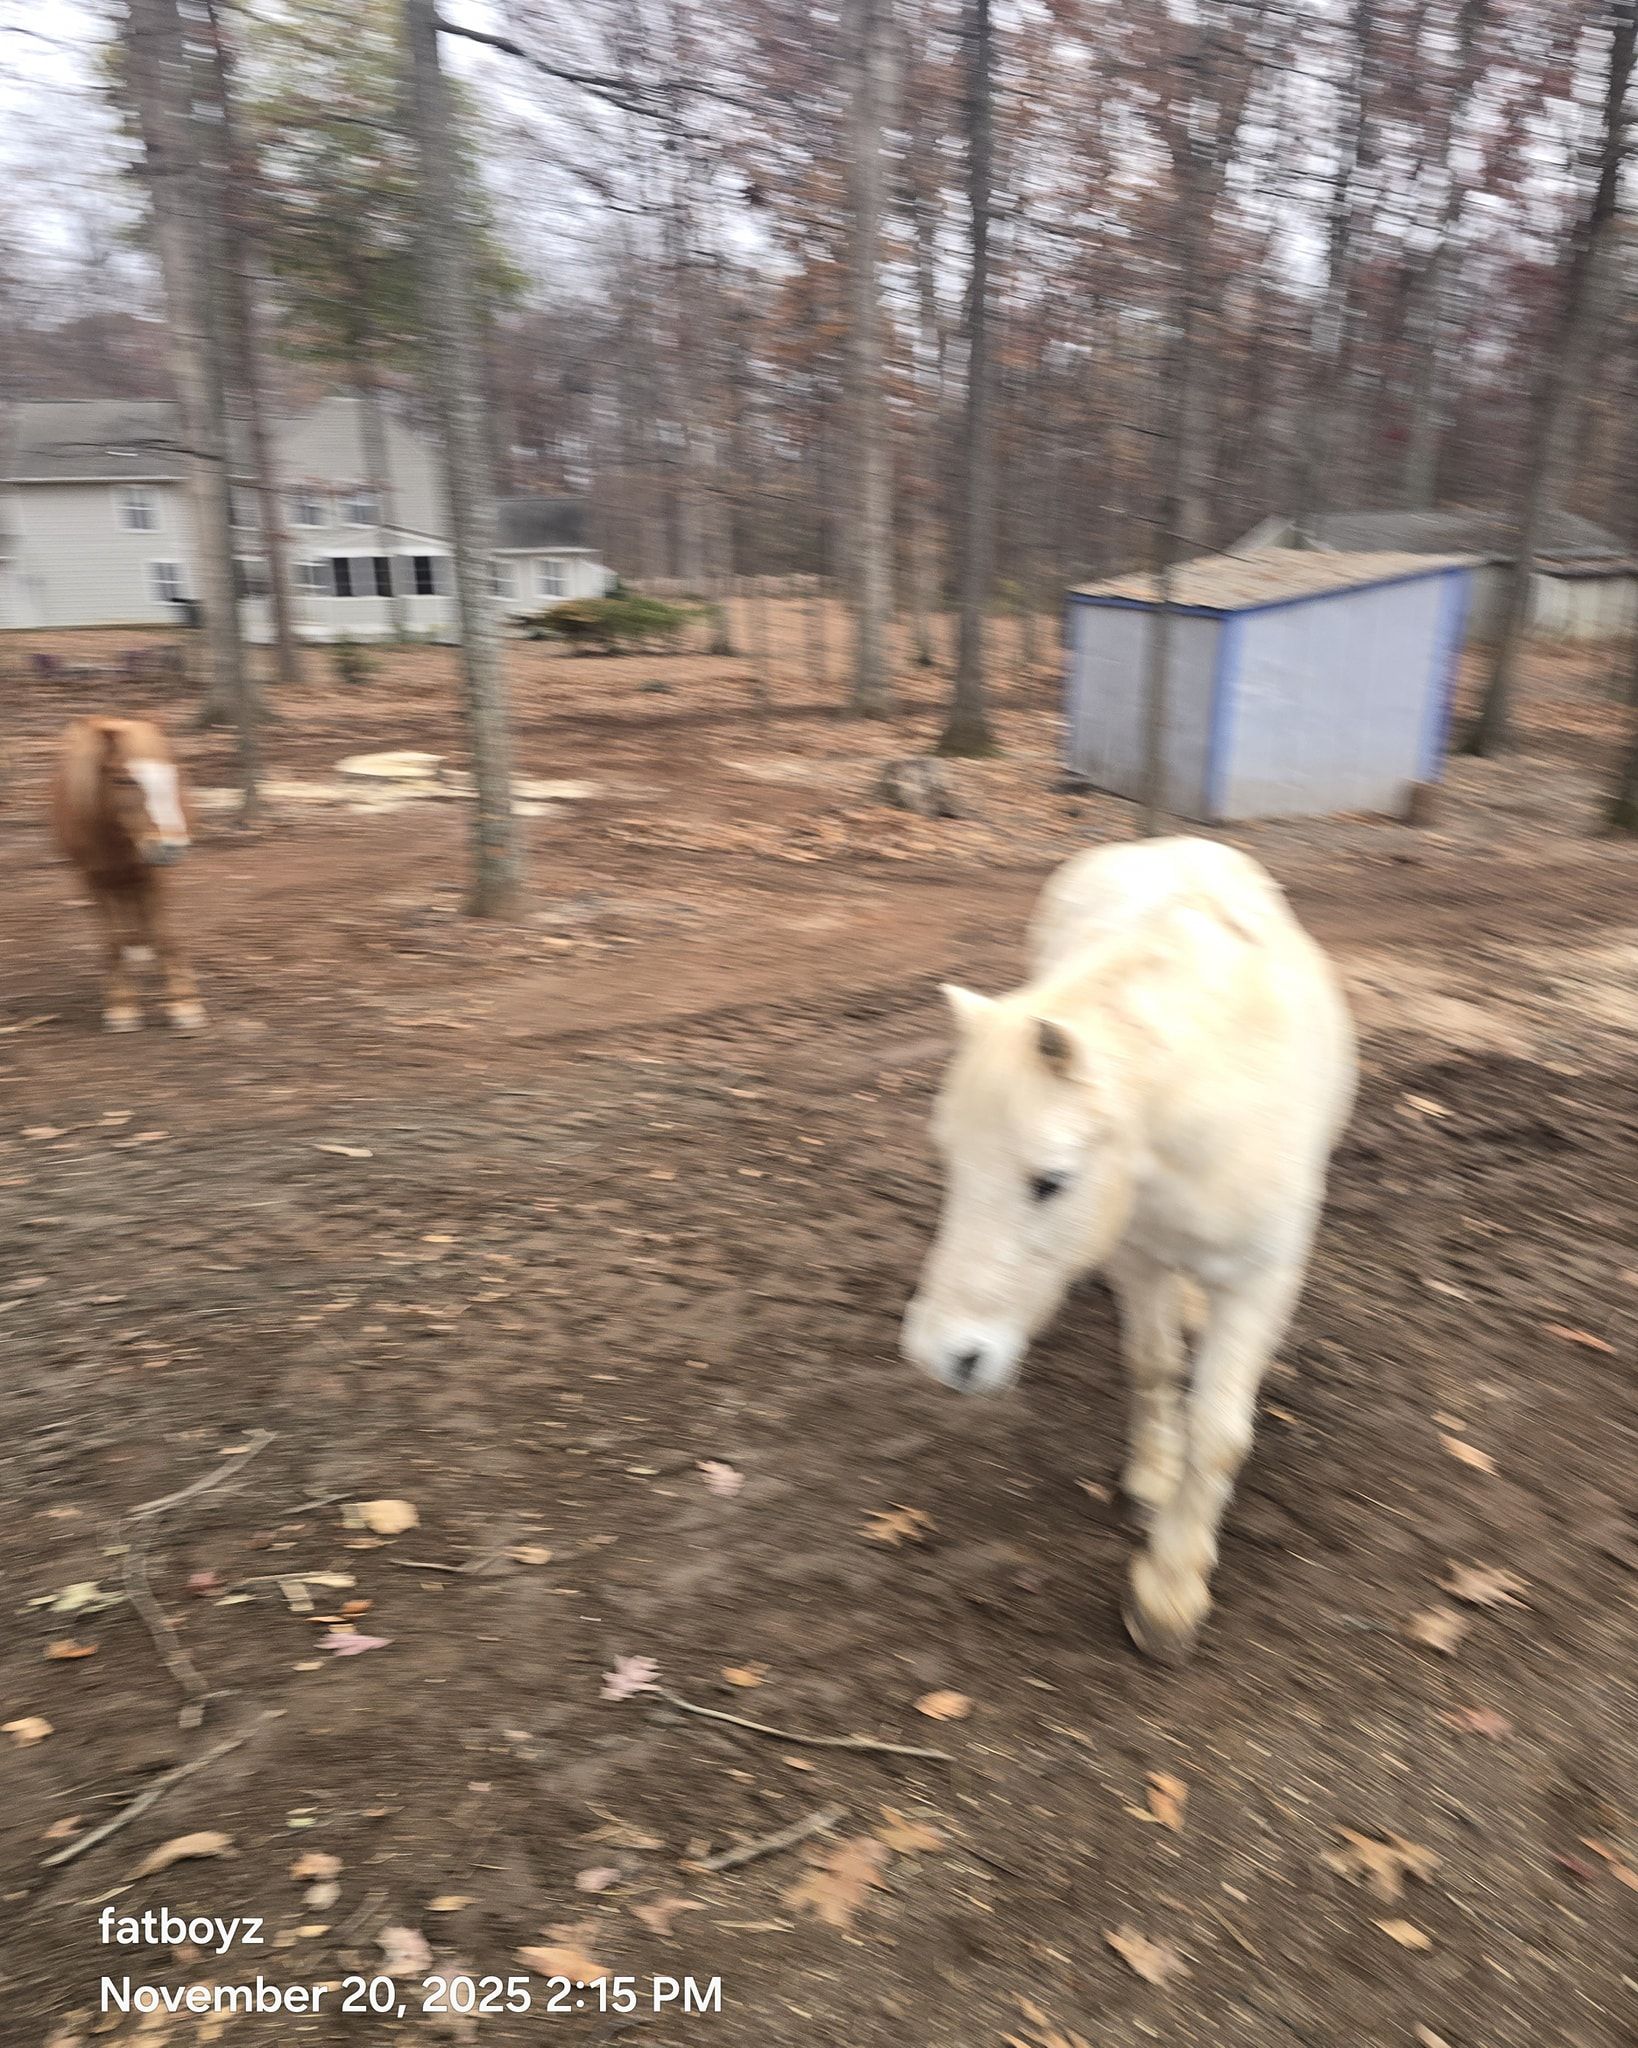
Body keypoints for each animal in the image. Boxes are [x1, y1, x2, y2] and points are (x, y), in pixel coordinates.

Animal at [49, 717, 205, 1032]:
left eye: (172, 776)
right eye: (123, 779)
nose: (171, 847)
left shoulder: (154, 875)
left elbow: (165, 934)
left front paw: (185, 1004)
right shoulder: (93, 880)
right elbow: (112, 939)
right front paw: (122, 1006)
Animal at [901, 837, 1356, 1662]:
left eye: (1050, 1180)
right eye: (950, 1158)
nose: (941, 1354)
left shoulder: (1264, 1280)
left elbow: (1219, 1433)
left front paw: (1170, 1591)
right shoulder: (1137, 1255)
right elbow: (1151, 1364)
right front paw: (1152, 1477)